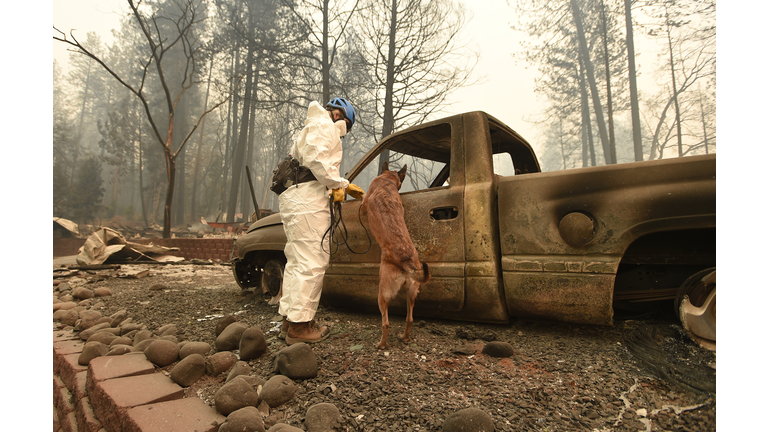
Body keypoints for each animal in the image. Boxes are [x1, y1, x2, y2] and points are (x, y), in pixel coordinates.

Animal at [362, 160, 428, 350]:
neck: (387, 180)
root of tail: (407, 261)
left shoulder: (363, 205)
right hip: (411, 293)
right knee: (410, 318)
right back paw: (404, 338)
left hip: (382, 294)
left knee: (385, 323)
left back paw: (381, 344)